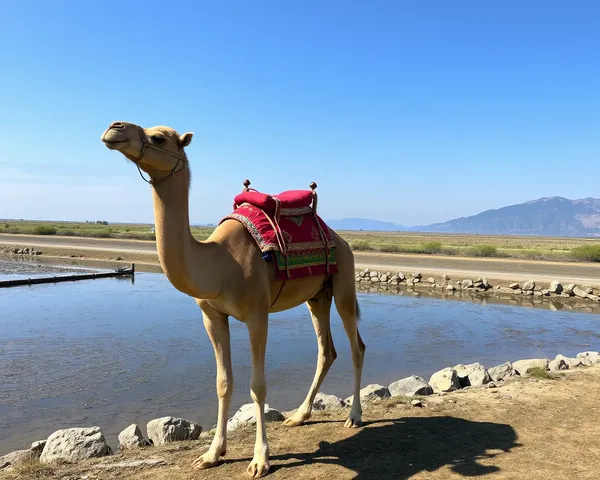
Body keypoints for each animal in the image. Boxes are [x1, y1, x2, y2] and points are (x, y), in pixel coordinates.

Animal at [99, 121, 366, 476]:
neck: (220, 262)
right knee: (327, 351)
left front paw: (260, 460)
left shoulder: (257, 314)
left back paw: (354, 416)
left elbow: (258, 386)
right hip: (317, 297)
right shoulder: (212, 316)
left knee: (356, 347)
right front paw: (212, 454)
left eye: (159, 137)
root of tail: (340, 238)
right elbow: (223, 383)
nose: (114, 129)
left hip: (344, 282)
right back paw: (298, 416)